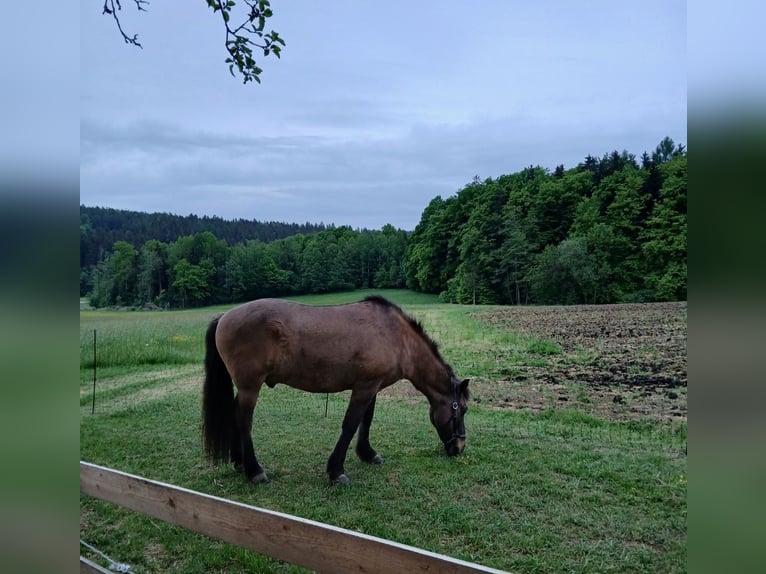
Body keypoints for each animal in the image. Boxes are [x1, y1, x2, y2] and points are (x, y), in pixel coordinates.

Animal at [202, 295, 469, 485]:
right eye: (462, 409)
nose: (459, 448)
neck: (397, 337)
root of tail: (225, 316)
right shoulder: (364, 387)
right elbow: (350, 424)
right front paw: (336, 471)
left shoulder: (372, 386)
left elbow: (366, 420)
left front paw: (367, 454)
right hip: (250, 386)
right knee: (244, 420)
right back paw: (255, 471)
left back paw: (239, 462)